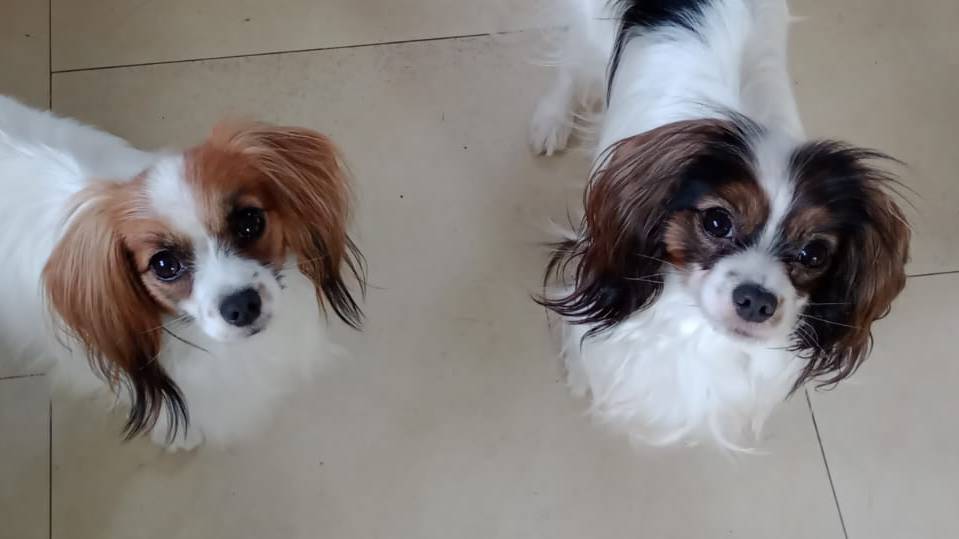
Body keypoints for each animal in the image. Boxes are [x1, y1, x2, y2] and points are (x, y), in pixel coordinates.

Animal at [531, 0, 909, 450]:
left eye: (813, 254)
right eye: (716, 222)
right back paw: (552, 120)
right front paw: (578, 375)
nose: (757, 301)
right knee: (573, 60)